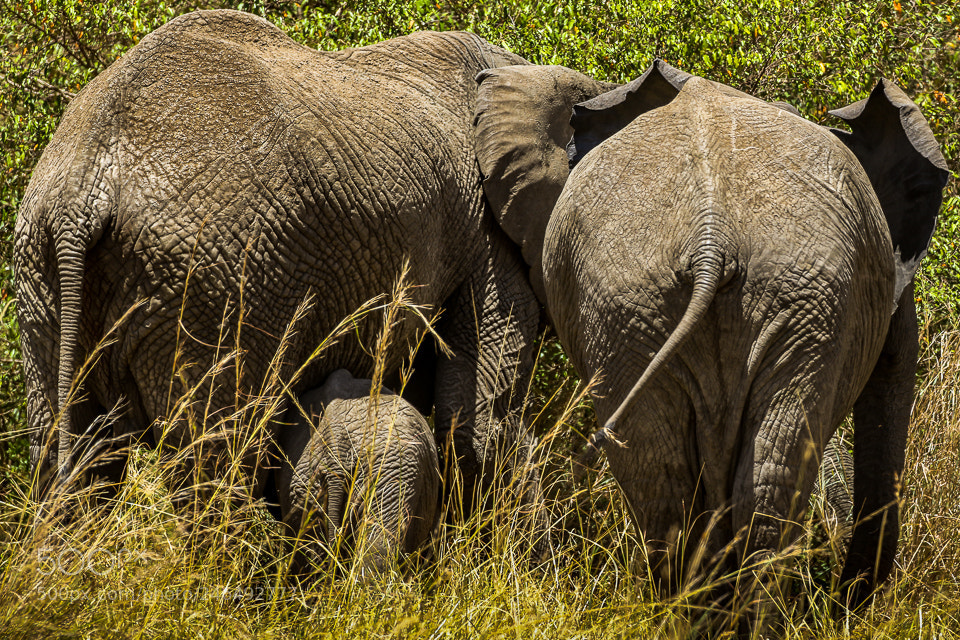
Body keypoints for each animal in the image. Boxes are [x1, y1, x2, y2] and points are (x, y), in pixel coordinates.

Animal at [13, 8, 613, 543]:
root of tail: (85, 182)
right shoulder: (487, 235)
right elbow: (482, 423)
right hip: (213, 281)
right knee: (215, 460)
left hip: (44, 276)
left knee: (74, 457)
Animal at [472, 60, 948, 610]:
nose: (839, 601)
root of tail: (711, 241)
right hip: (691, 305)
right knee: (708, 487)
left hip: (680, 304)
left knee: (692, 488)